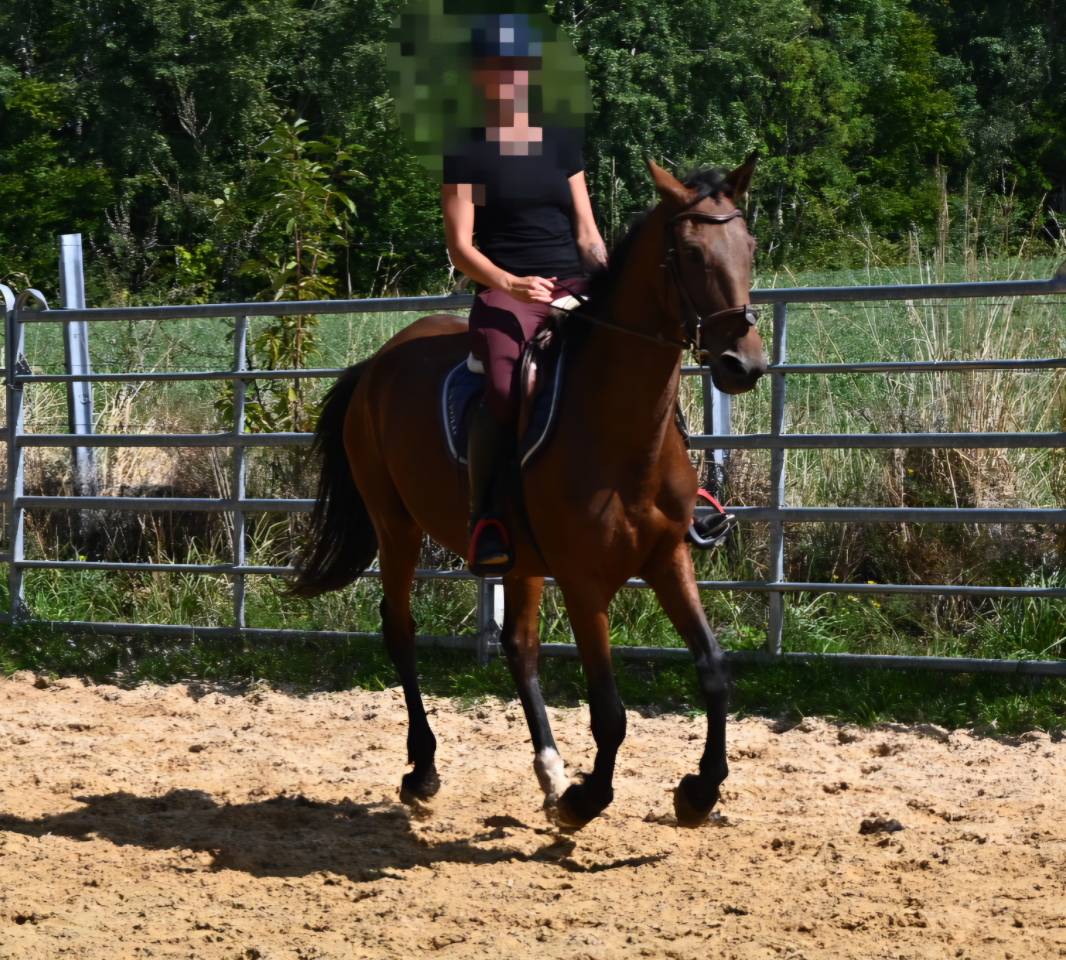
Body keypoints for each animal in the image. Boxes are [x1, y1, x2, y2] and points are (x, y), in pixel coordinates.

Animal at [291, 156, 766, 828]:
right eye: (692, 253)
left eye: (748, 248)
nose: (742, 365)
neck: (619, 429)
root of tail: (376, 364)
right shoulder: (583, 578)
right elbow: (610, 710)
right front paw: (586, 801)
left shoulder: (668, 556)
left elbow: (715, 670)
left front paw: (698, 791)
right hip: (396, 526)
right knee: (400, 629)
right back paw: (424, 771)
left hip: (517, 557)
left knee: (519, 645)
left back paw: (549, 770)